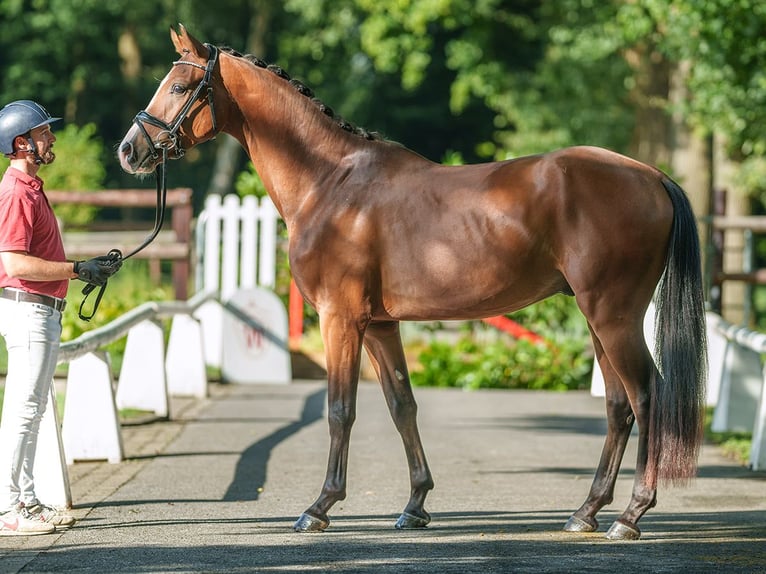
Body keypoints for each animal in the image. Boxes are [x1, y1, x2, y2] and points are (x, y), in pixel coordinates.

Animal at [117, 24, 712, 544]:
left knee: (647, 397)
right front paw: (415, 505)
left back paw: (630, 516)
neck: (331, 182)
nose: (129, 151)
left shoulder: (341, 320)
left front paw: (320, 507)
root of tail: (652, 176)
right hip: (596, 319)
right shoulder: (381, 325)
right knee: (617, 406)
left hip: (613, 316)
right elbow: (402, 405)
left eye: (179, 87)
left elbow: (340, 409)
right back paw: (585, 512)